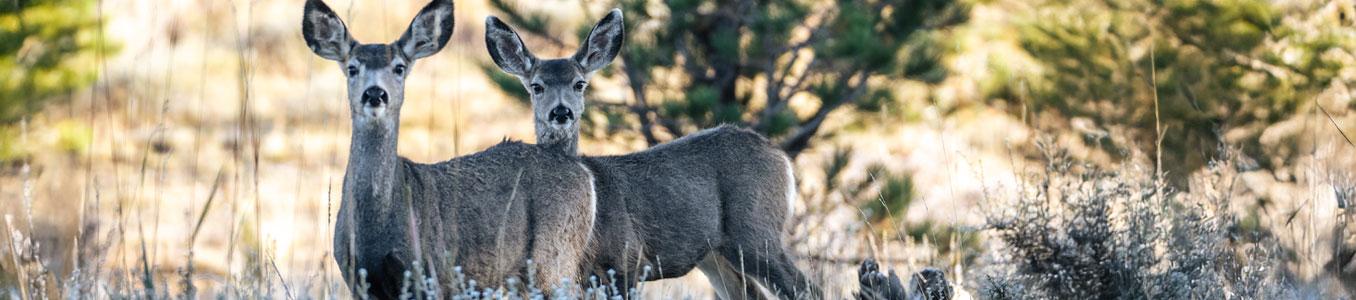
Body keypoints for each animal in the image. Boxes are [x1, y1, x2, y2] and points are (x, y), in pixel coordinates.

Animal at [302, 0, 599, 297]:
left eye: (399, 67)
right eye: (352, 68)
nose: (375, 94)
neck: (377, 223)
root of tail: (580, 169)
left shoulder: (432, 270)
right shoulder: (356, 278)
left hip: (556, 254)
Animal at [488, 8, 824, 298]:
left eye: (579, 83)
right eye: (536, 86)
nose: (561, 112)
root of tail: (780, 156)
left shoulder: (628, 259)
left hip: (755, 231)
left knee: (807, 287)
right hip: (715, 254)